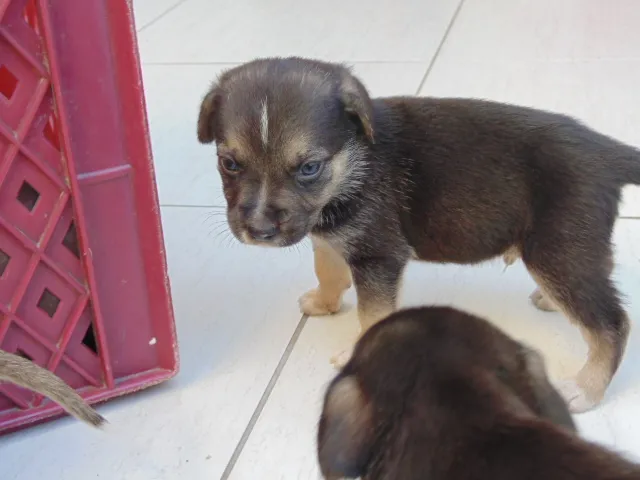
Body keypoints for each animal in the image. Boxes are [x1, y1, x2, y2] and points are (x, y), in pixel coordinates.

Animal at [198, 55, 636, 408]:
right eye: (229, 163)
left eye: (309, 168)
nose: (259, 231)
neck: (354, 162)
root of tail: (607, 152)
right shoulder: (331, 235)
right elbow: (328, 269)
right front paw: (323, 302)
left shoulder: (379, 257)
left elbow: (372, 314)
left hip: (558, 250)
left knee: (612, 323)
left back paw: (586, 388)